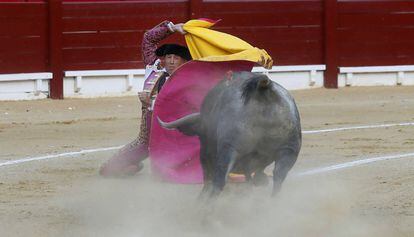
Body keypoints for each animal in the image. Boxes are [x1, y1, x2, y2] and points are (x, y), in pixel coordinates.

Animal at [158, 71, 300, 197]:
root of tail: (262, 88)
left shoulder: (206, 155)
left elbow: (208, 178)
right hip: (290, 149)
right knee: (279, 177)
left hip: (229, 149)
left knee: (219, 181)